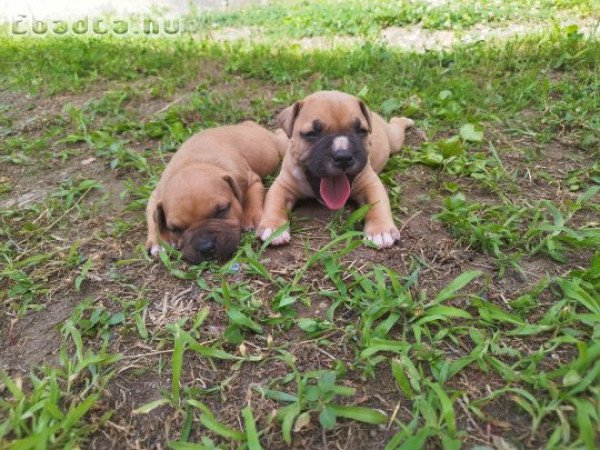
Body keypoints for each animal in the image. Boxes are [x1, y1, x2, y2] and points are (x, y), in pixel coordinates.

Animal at [145, 121, 286, 266]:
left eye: (221, 210)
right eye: (176, 229)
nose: (205, 246)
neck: (194, 163)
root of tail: (246, 123)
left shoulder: (251, 180)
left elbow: (251, 197)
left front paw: (250, 217)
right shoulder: (155, 196)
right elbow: (153, 217)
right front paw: (158, 241)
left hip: (275, 146)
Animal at [258, 89, 412, 248]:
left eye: (361, 131)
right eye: (311, 134)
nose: (343, 156)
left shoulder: (370, 183)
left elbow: (378, 204)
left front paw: (380, 230)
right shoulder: (282, 185)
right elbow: (274, 203)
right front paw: (273, 227)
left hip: (394, 139)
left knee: (397, 126)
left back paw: (404, 120)